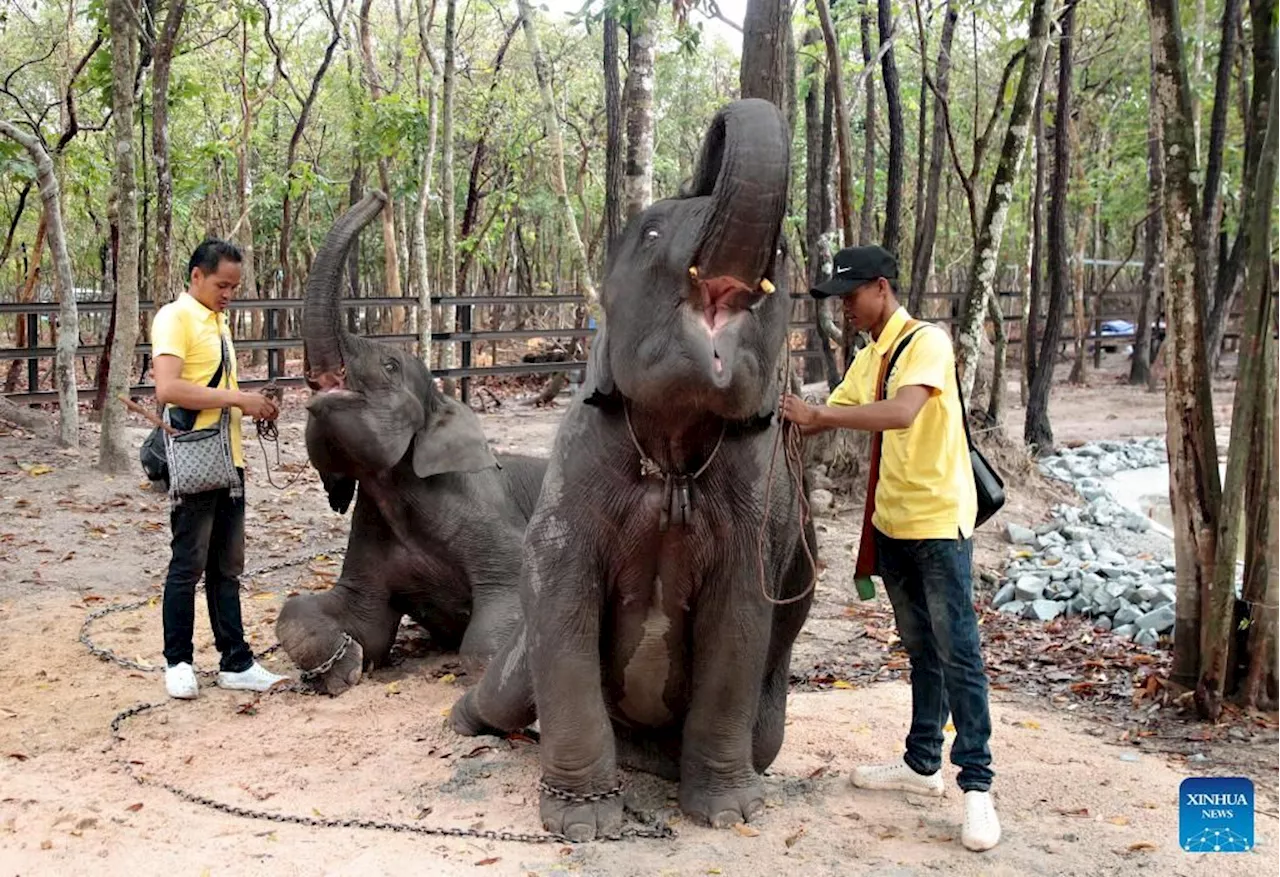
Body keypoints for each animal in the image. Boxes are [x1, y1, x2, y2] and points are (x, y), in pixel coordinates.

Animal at [275, 192, 545, 691]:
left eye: (389, 366)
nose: (380, 196)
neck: (395, 493)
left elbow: (490, 628)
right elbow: (334, 615)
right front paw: (347, 665)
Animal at [445, 99, 814, 844]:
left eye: (782, 262)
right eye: (650, 232)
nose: (713, 145)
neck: (671, 451)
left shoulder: (754, 499)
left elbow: (740, 619)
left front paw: (729, 813)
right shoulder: (577, 463)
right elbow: (559, 593)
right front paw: (583, 824)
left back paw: (654, 766)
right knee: (507, 692)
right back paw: (465, 722)